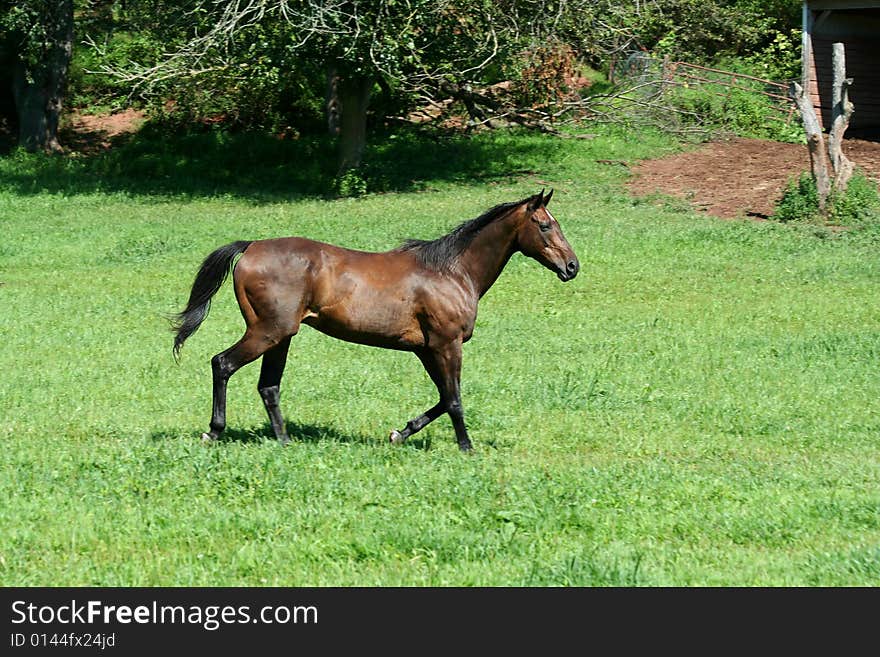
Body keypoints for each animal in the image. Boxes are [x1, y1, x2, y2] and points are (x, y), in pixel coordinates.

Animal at [174, 187, 580, 448]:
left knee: (268, 387)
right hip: (267, 332)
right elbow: (453, 399)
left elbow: (441, 396)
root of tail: (250, 247)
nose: (572, 267)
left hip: (281, 336)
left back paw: (285, 441)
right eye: (545, 225)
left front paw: (400, 433)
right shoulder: (447, 344)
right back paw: (214, 432)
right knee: (222, 363)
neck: (451, 271)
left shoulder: (426, 349)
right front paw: (467, 447)